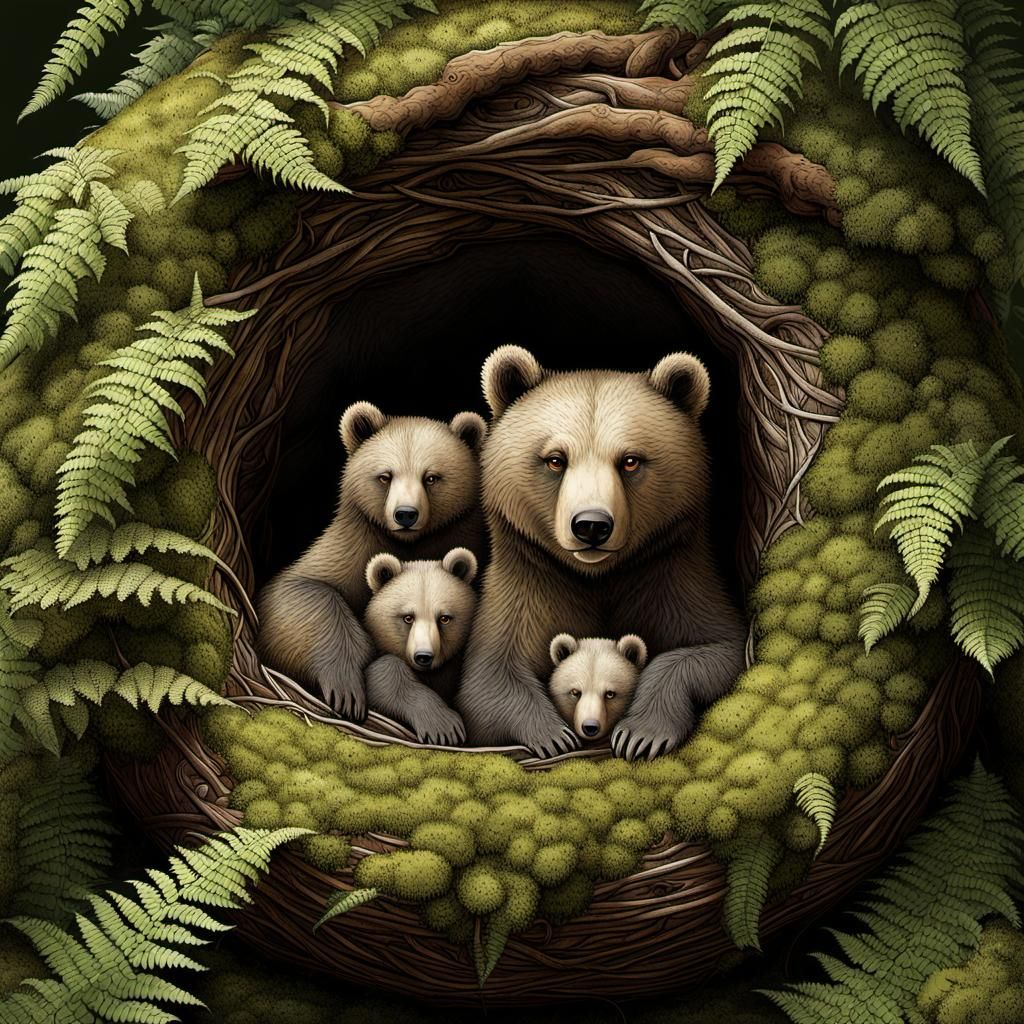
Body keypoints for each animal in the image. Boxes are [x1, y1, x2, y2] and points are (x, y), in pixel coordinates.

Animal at [256, 402, 487, 720]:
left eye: (431, 477)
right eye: (385, 476)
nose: (405, 514)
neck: (411, 544)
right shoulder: (354, 545)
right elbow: (300, 591)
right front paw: (346, 685)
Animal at [458, 345, 746, 760]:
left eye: (630, 460)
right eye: (555, 459)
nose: (591, 525)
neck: (597, 577)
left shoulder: (669, 575)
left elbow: (715, 649)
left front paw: (641, 733)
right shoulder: (530, 583)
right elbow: (490, 678)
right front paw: (553, 734)